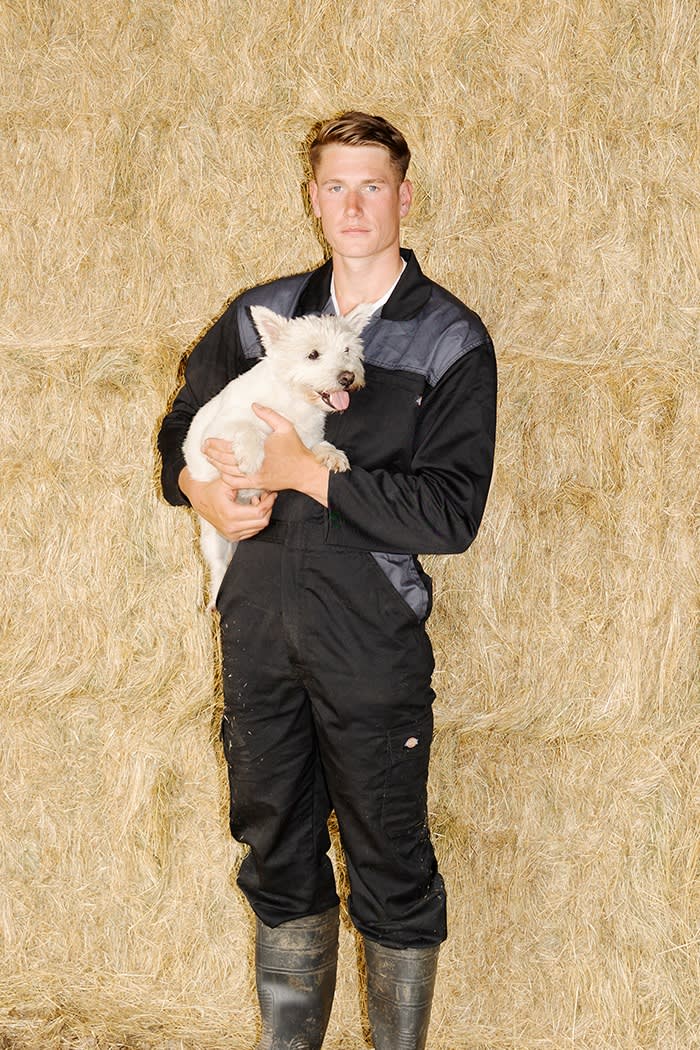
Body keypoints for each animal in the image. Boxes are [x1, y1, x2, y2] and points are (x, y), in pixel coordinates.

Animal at [183, 304, 369, 609]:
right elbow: (247, 428)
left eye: (347, 350)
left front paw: (333, 456)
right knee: (219, 569)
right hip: (213, 539)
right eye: (313, 354)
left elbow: (318, 445)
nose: (347, 377)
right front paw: (251, 457)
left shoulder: (307, 437)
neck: (294, 402)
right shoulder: (217, 432)